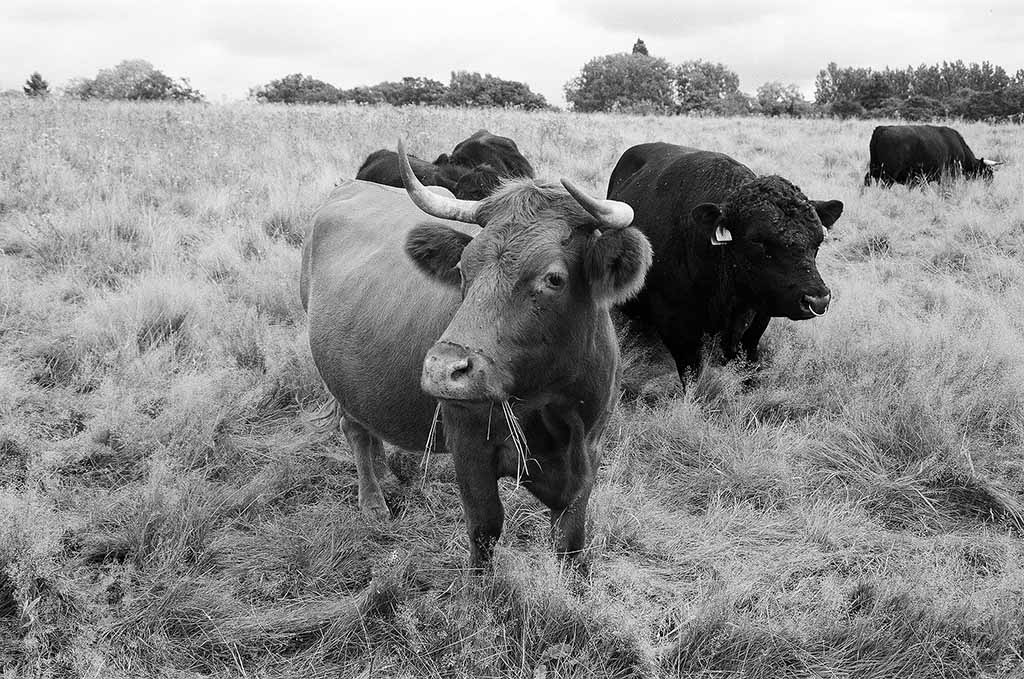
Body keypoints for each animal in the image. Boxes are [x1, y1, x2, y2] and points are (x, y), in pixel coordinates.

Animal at [302, 142, 652, 568]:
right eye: (462, 267)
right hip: (334, 378)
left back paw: (384, 472)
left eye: (553, 278)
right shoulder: (469, 449)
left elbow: (571, 540)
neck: (552, 405)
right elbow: (484, 530)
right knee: (353, 428)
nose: (442, 369)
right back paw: (372, 501)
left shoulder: (589, 453)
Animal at [606, 142, 844, 382]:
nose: (817, 300)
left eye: (819, 239)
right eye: (757, 240)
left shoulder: (758, 318)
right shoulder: (676, 327)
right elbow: (693, 377)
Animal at [864, 124, 1001, 186]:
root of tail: (881, 128)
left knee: (867, 179)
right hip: (888, 174)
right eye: (987, 172)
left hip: (875, 168)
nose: (990, 184)